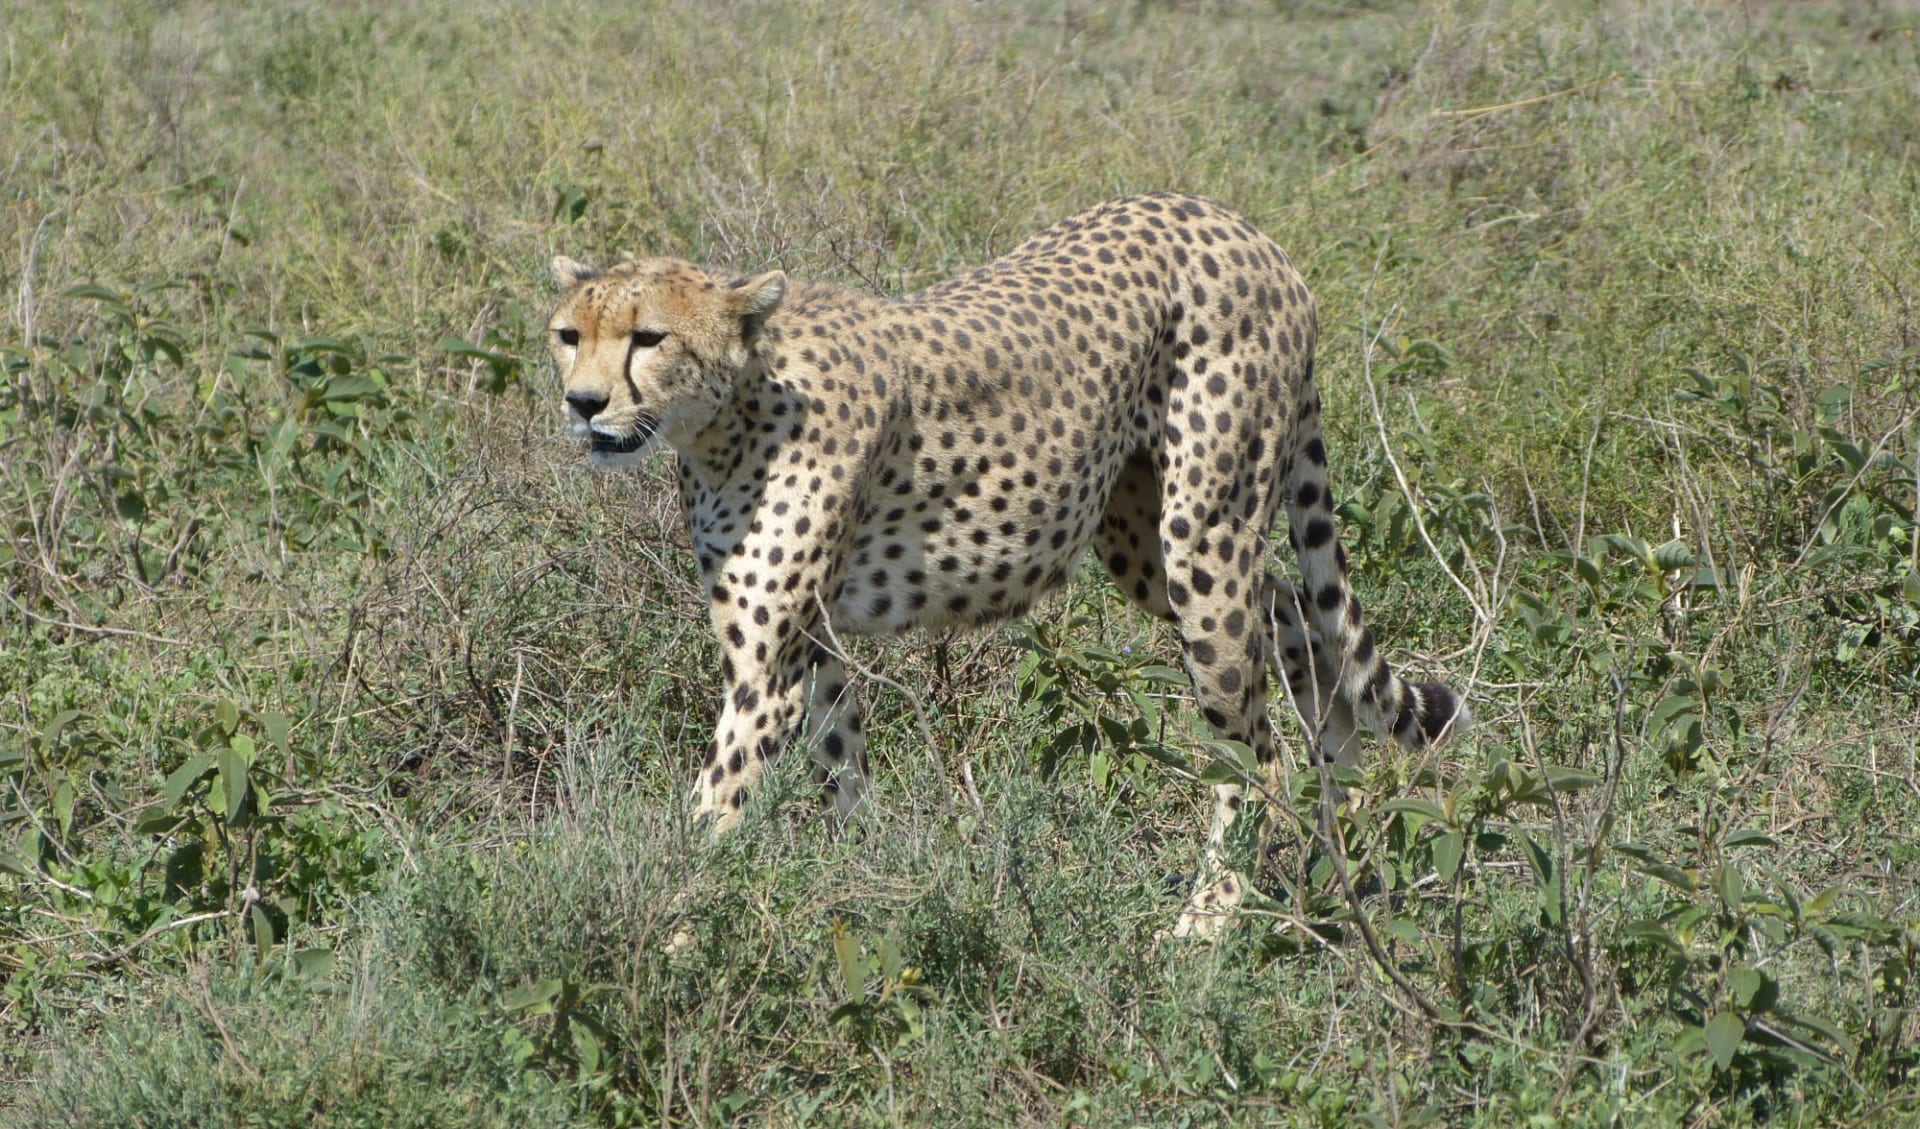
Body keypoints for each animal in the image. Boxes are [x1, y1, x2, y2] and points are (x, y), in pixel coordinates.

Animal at [547, 193, 1468, 934]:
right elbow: (841, 768)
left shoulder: (767, 668)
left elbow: (714, 810)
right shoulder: (817, 642)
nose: (583, 403)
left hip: (1203, 532)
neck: (726, 417)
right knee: (1297, 616)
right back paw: (1338, 823)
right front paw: (858, 889)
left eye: (649, 337)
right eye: (568, 335)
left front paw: (664, 928)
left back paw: (1212, 920)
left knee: (1253, 746)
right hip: (1142, 539)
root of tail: (1239, 225)